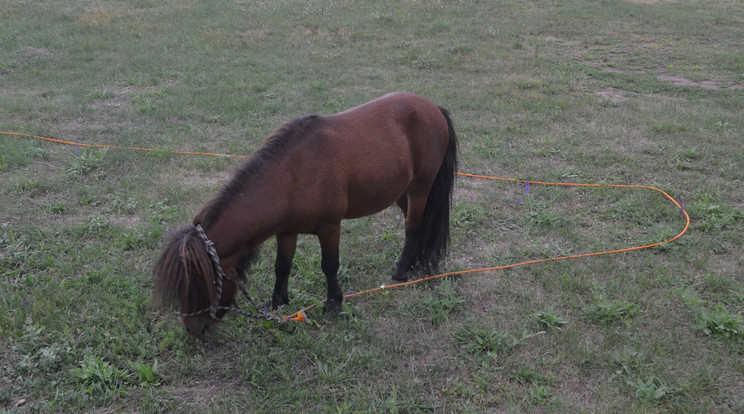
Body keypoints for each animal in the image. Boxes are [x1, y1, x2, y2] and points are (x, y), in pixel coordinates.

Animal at [155, 92, 460, 334]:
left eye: (198, 281)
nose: (192, 329)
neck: (293, 175)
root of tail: (433, 107)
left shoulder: (330, 227)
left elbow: (329, 265)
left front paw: (334, 302)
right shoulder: (286, 232)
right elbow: (282, 266)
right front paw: (278, 303)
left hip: (420, 187)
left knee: (413, 226)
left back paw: (402, 270)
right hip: (402, 191)